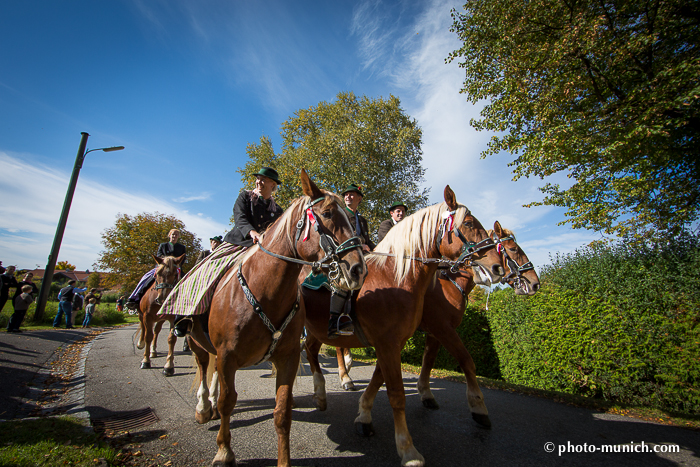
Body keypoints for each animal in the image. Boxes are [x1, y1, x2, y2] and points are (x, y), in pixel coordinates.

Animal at [189, 171, 370, 467]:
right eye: (328, 213)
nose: (358, 269)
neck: (264, 290)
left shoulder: (287, 357)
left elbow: (282, 411)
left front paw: (284, 459)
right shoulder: (228, 356)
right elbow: (228, 401)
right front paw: (224, 451)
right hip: (196, 341)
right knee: (205, 367)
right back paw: (204, 407)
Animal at [302, 187, 504, 467]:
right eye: (469, 224)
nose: (496, 266)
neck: (395, 276)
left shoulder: (394, 342)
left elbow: (379, 379)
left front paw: (364, 416)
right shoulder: (397, 341)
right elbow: (398, 393)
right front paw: (408, 450)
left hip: (317, 330)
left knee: (311, 350)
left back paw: (323, 393)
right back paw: (327, 387)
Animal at [326, 221, 544, 430]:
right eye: (513, 249)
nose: (535, 283)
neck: (449, 283)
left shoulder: (434, 332)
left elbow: (428, 361)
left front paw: (426, 393)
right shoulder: (442, 328)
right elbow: (466, 360)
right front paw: (478, 408)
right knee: (338, 346)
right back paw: (345, 376)